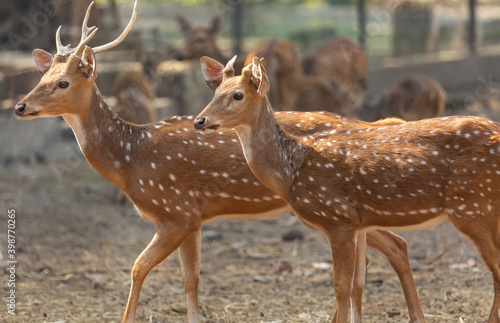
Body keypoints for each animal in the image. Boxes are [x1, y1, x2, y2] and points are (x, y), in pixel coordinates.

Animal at [194, 55, 500, 323]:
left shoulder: (337, 219)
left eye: (237, 95)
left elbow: (341, 286)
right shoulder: (356, 224)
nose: (199, 121)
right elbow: (356, 284)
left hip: (472, 207)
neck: (292, 170)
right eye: (215, 92)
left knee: (497, 270)